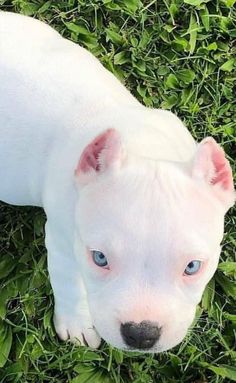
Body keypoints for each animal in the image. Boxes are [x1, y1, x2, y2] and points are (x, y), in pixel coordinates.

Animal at [0, 11, 235, 354]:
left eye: (193, 266)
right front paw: (77, 323)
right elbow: (69, 283)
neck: (144, 147)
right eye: (100, 258)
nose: (141, 334)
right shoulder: (62, 241)